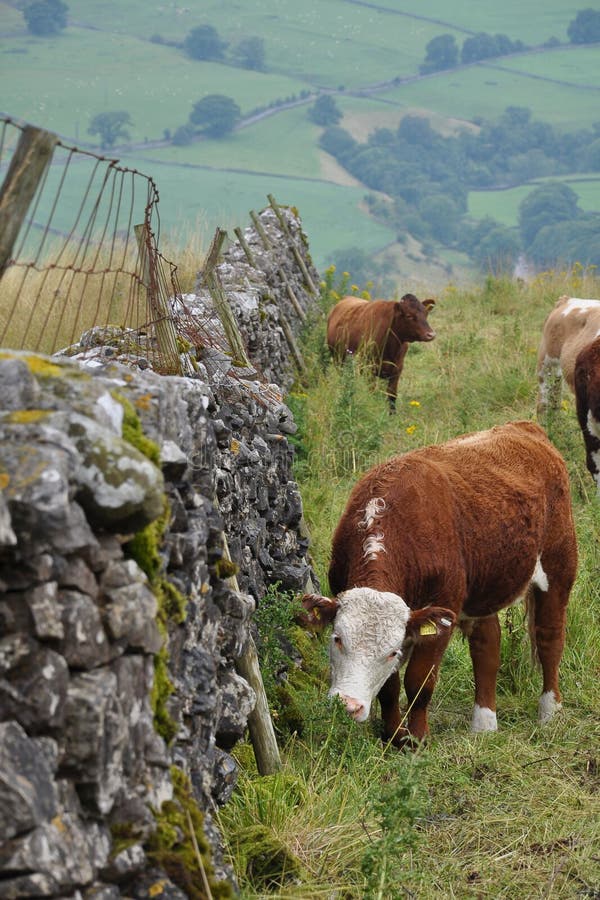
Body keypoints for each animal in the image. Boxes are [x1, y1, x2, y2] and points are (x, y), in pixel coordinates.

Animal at [302, 422, 580, 744]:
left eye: (391, 652)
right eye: (337, 638)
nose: (348, 705)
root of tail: (525, 427)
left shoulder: (442, 610)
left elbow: (419, 680)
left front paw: (418, 737)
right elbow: (390, 687)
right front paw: (394, 736)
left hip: (558, 567)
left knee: (550, 637)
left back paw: (550, 711)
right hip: (480, 588)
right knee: (487, 645)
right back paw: (484, 724)